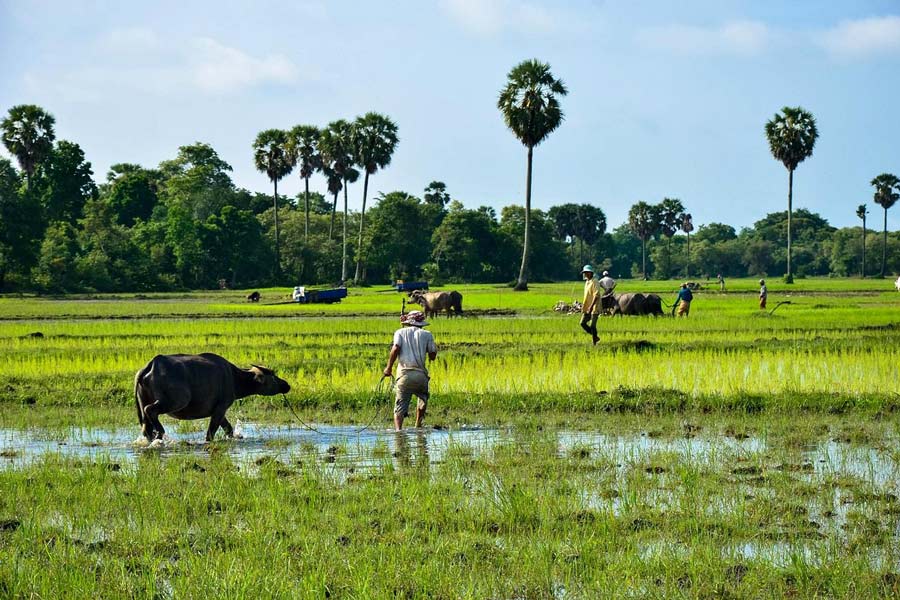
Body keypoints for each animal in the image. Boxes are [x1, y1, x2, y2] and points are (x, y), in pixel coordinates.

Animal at [135, 352, 290, 440]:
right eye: (273, 376)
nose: (287, 385)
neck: (234, 378)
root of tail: (151, 365)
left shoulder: (219, 412)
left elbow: (229, 429)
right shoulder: (221, 408)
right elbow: (211, 433)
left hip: (144, 402)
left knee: (146, 427)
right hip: (176, 401)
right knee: (150, 410)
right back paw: (161, 433)